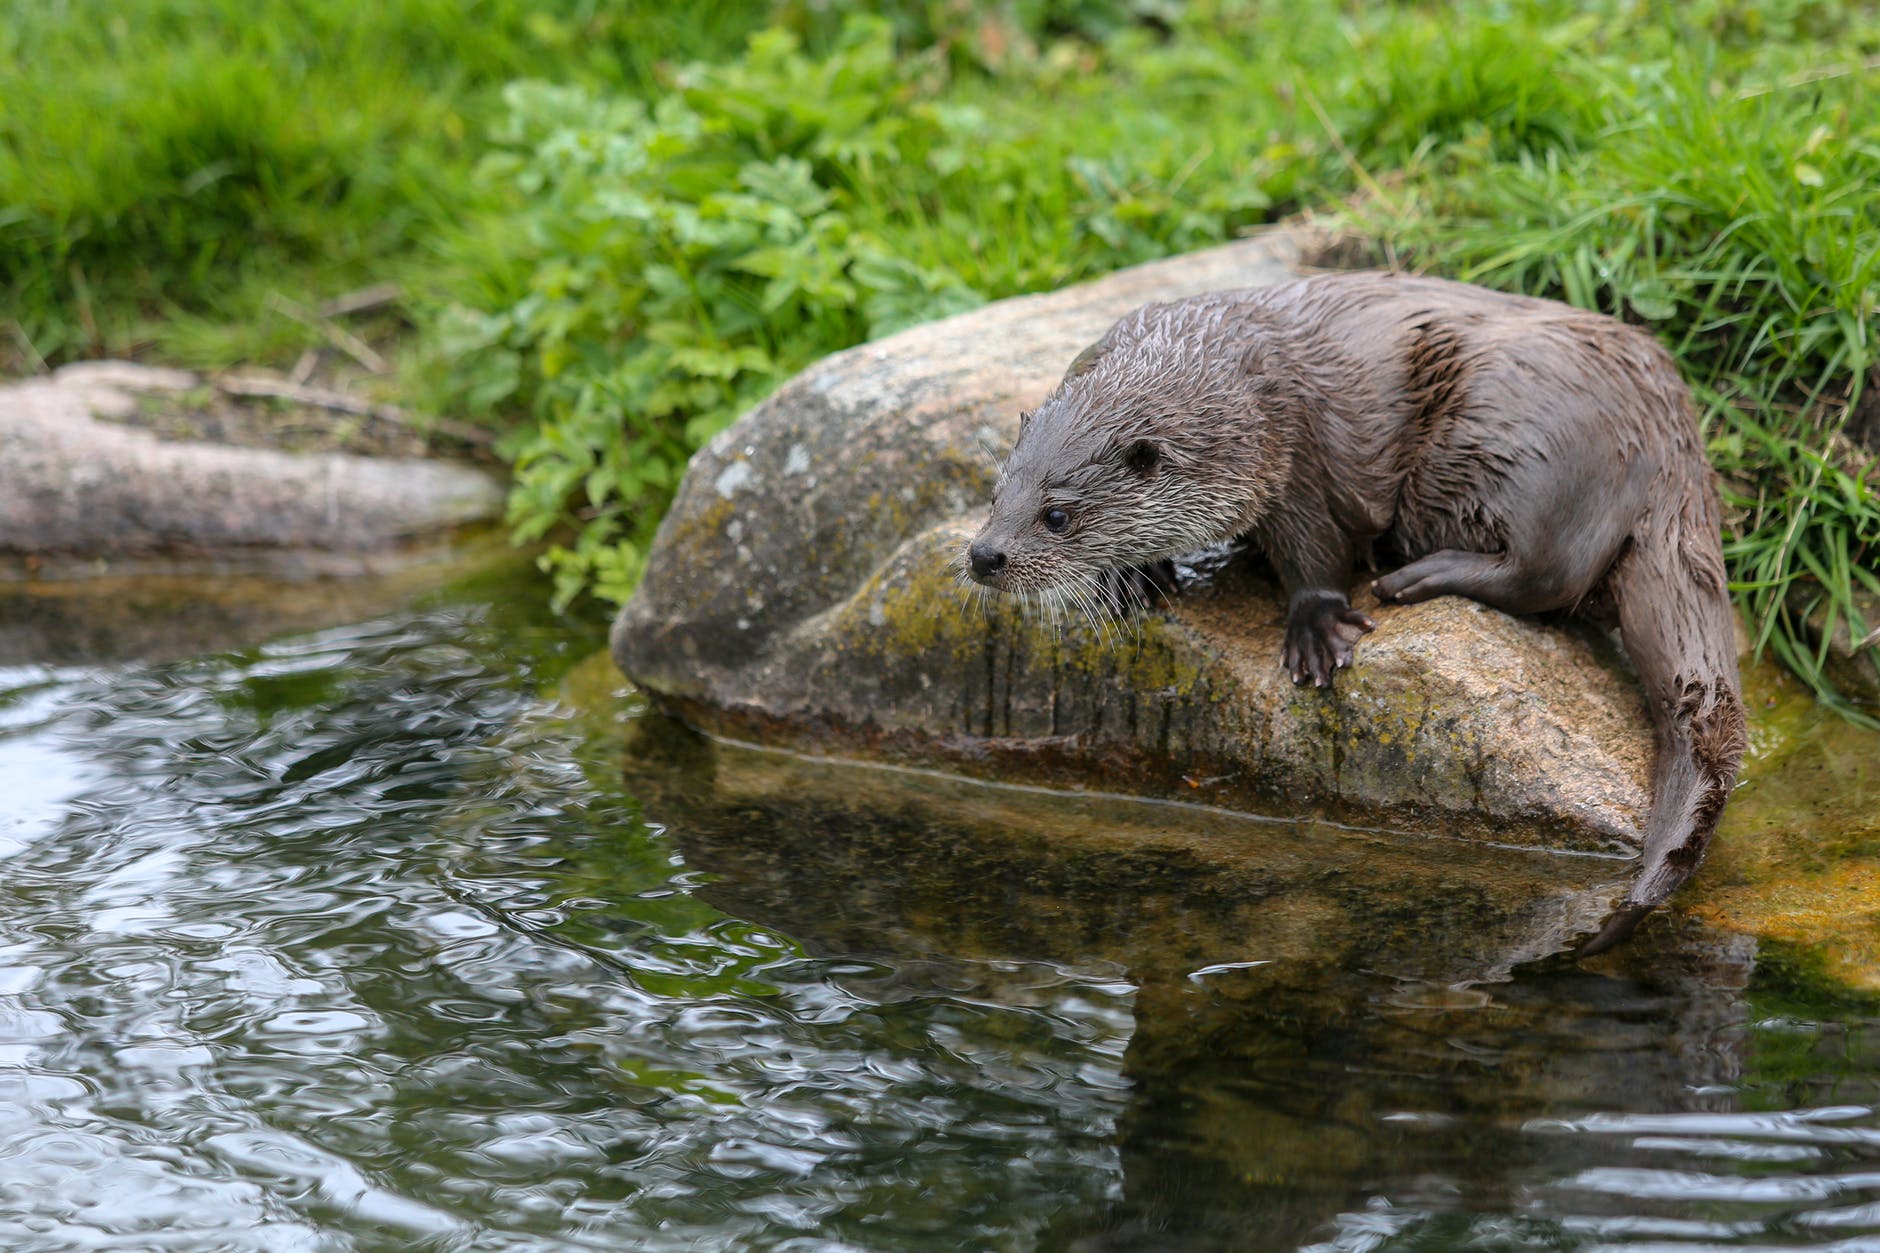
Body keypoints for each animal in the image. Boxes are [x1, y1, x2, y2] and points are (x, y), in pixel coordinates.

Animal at [970, 272, 1744, 951]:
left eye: (1058, 514)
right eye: (995, 494)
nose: (983, 556)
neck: (1234, 390)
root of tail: (1671, 430)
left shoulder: (1293, 459)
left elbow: (1315, 551)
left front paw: (1315, 633)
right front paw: (1132, 577)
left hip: (1517, 439)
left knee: (1547, 571)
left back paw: (1415, 576)